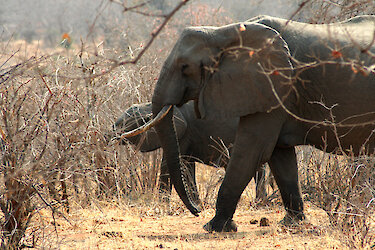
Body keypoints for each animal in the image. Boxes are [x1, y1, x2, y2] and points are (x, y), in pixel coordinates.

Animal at [113, 101, 272, 201]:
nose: (112, 134)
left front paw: (162, 204)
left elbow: (169, 164)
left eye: (125, 123)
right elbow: (187, 165)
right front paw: (197, 204)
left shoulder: (183, 133)